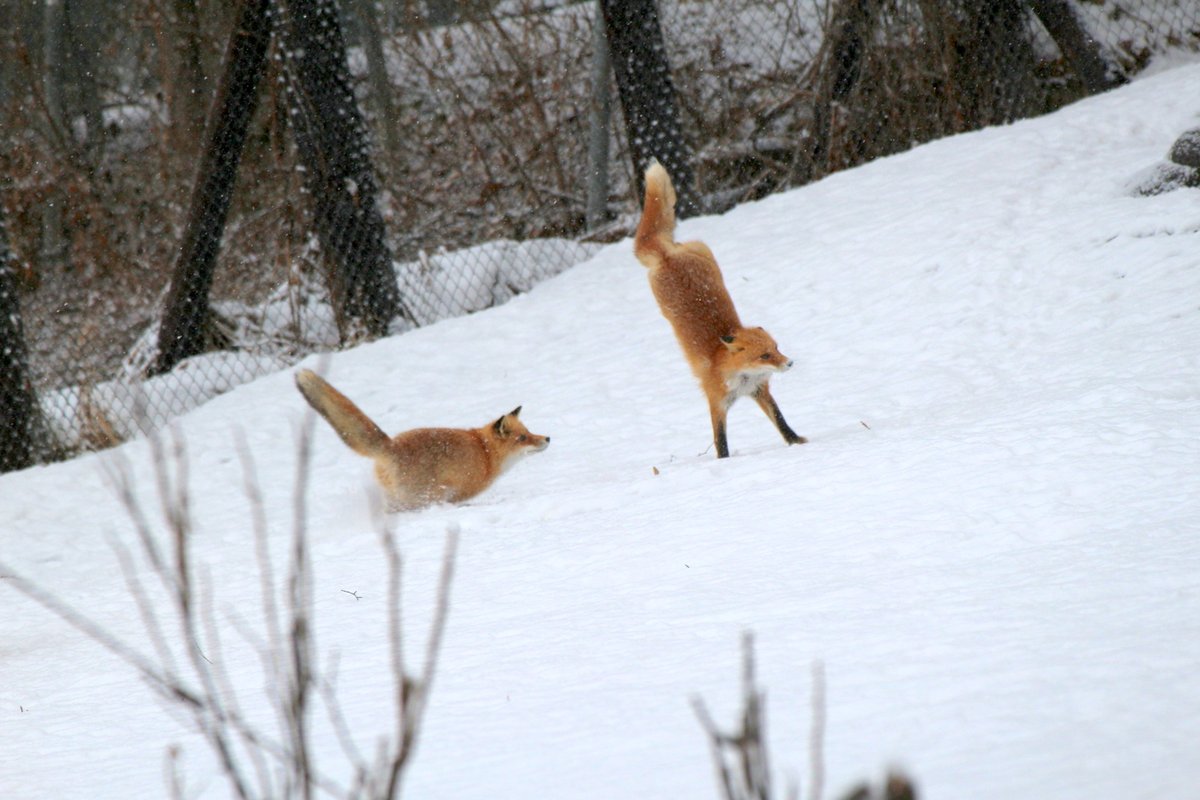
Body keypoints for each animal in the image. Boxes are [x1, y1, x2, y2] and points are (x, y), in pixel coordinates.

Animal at [295, 371, 549, 513]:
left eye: (529, 432)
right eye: (522, 438)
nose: (547, 438)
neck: (485, 452)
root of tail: (390, 446)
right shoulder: (459, 490)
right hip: (422, 496)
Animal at [638, 160, 806, 460]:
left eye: (776, 348)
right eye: (765, 355)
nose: (789, 363)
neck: (742, 377)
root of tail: (667, 256)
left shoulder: (760, 391)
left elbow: (781, 420)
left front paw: (797, 442)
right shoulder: (716, 401)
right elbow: (721, 440)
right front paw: (724, 464)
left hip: (705, 253)